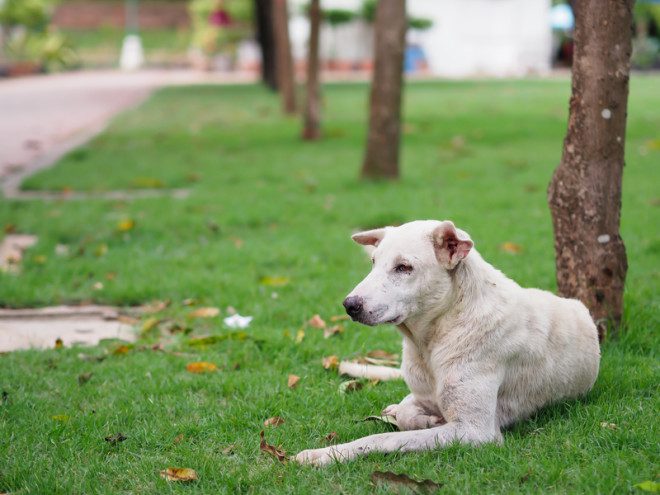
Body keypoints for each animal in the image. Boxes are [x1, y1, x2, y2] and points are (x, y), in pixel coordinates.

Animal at [294, 219, 600, 466]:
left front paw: (326, 454)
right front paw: (423, 418)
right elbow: (406, 414)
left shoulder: (475, 430)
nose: (349, 305)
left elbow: (384, 438)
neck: (433, 337)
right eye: (373, 263)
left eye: (404, 267)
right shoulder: (425, 396)